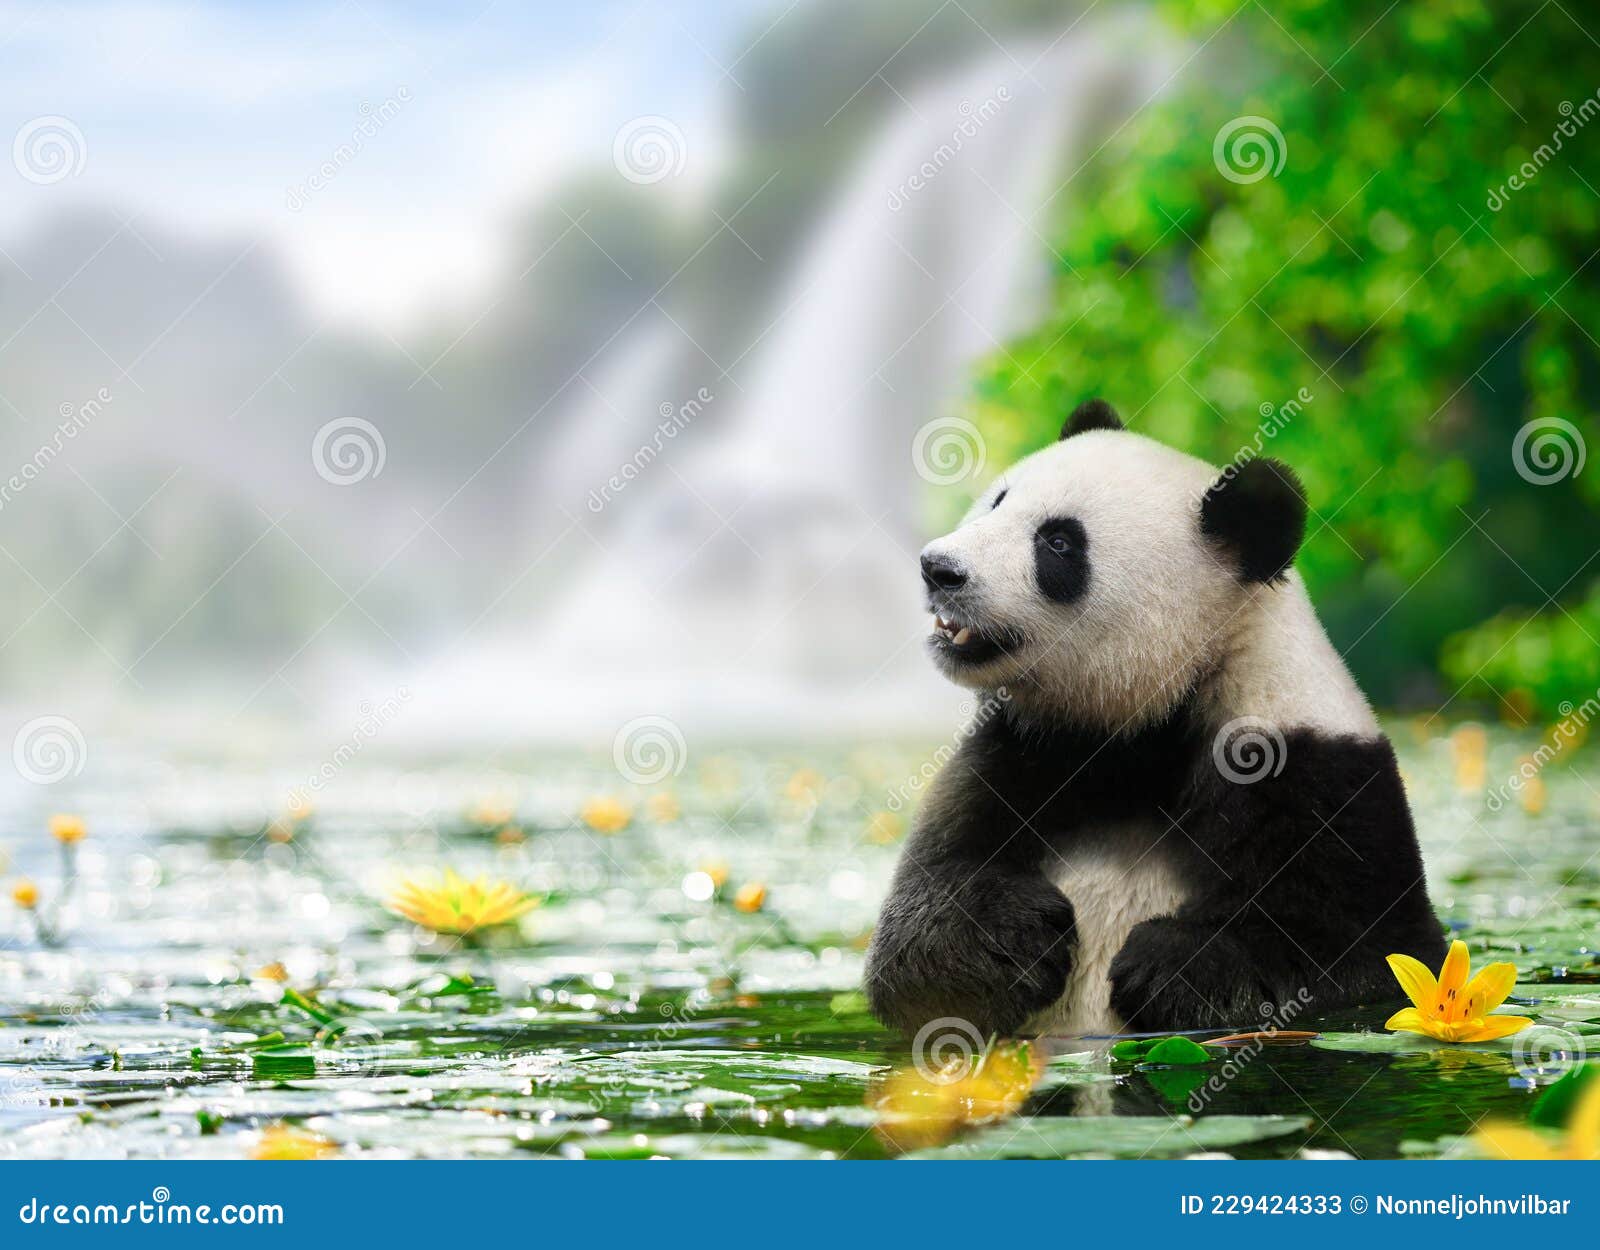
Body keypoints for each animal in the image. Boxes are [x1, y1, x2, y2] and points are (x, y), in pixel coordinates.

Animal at [865, 399, 1446, 1039]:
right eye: (998, 500)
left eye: (1059, 542)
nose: (939, 568)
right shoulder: (1017, 748)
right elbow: (917, 936)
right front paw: (1014, 936)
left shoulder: (1315, 771)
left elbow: (1365, 952)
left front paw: (1173, 967)